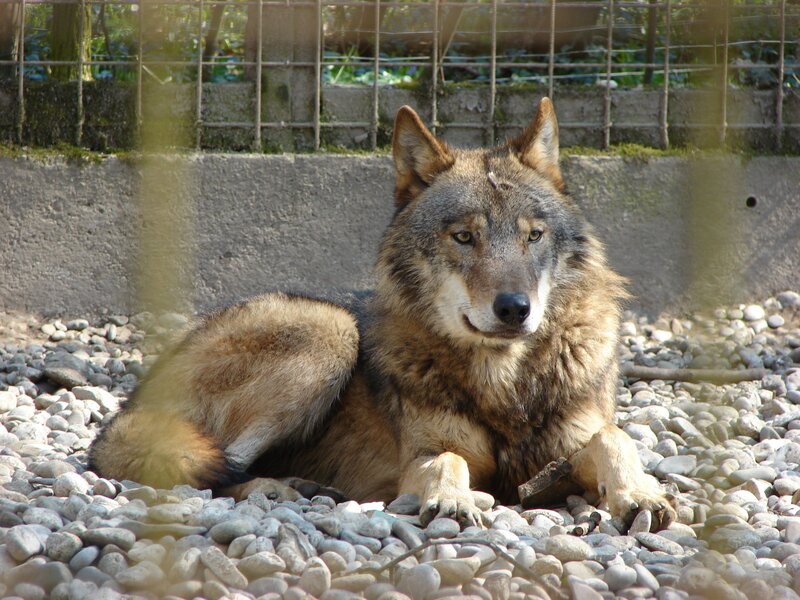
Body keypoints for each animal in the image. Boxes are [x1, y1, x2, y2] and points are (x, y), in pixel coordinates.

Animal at [89, 98, 675, 529]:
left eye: (533, 236)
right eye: (464, 237)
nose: (514, 309)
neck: (505, 384)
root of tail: (130, 405)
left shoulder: (564, 453)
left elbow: (614, 438)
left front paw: (639, 493)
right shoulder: (420, 456)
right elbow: (447, 460)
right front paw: (453, 499)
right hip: (329, 330)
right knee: (215, 469)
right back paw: (279, 489)